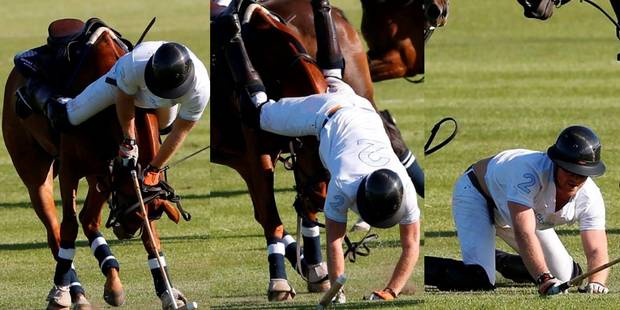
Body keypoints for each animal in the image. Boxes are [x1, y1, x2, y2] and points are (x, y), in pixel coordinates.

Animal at [1, 18, 184, 308]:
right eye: (129, 213)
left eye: (139, 216)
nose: (125, 232)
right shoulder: (71, 169)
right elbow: (68, 227)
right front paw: (63, 290)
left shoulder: (108, 173)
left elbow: (149, 233)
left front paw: (167, 291)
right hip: (34, 173)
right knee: (55, 230)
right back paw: (72, 291)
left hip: (97, 174)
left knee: (88, 219)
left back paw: (111, 277)